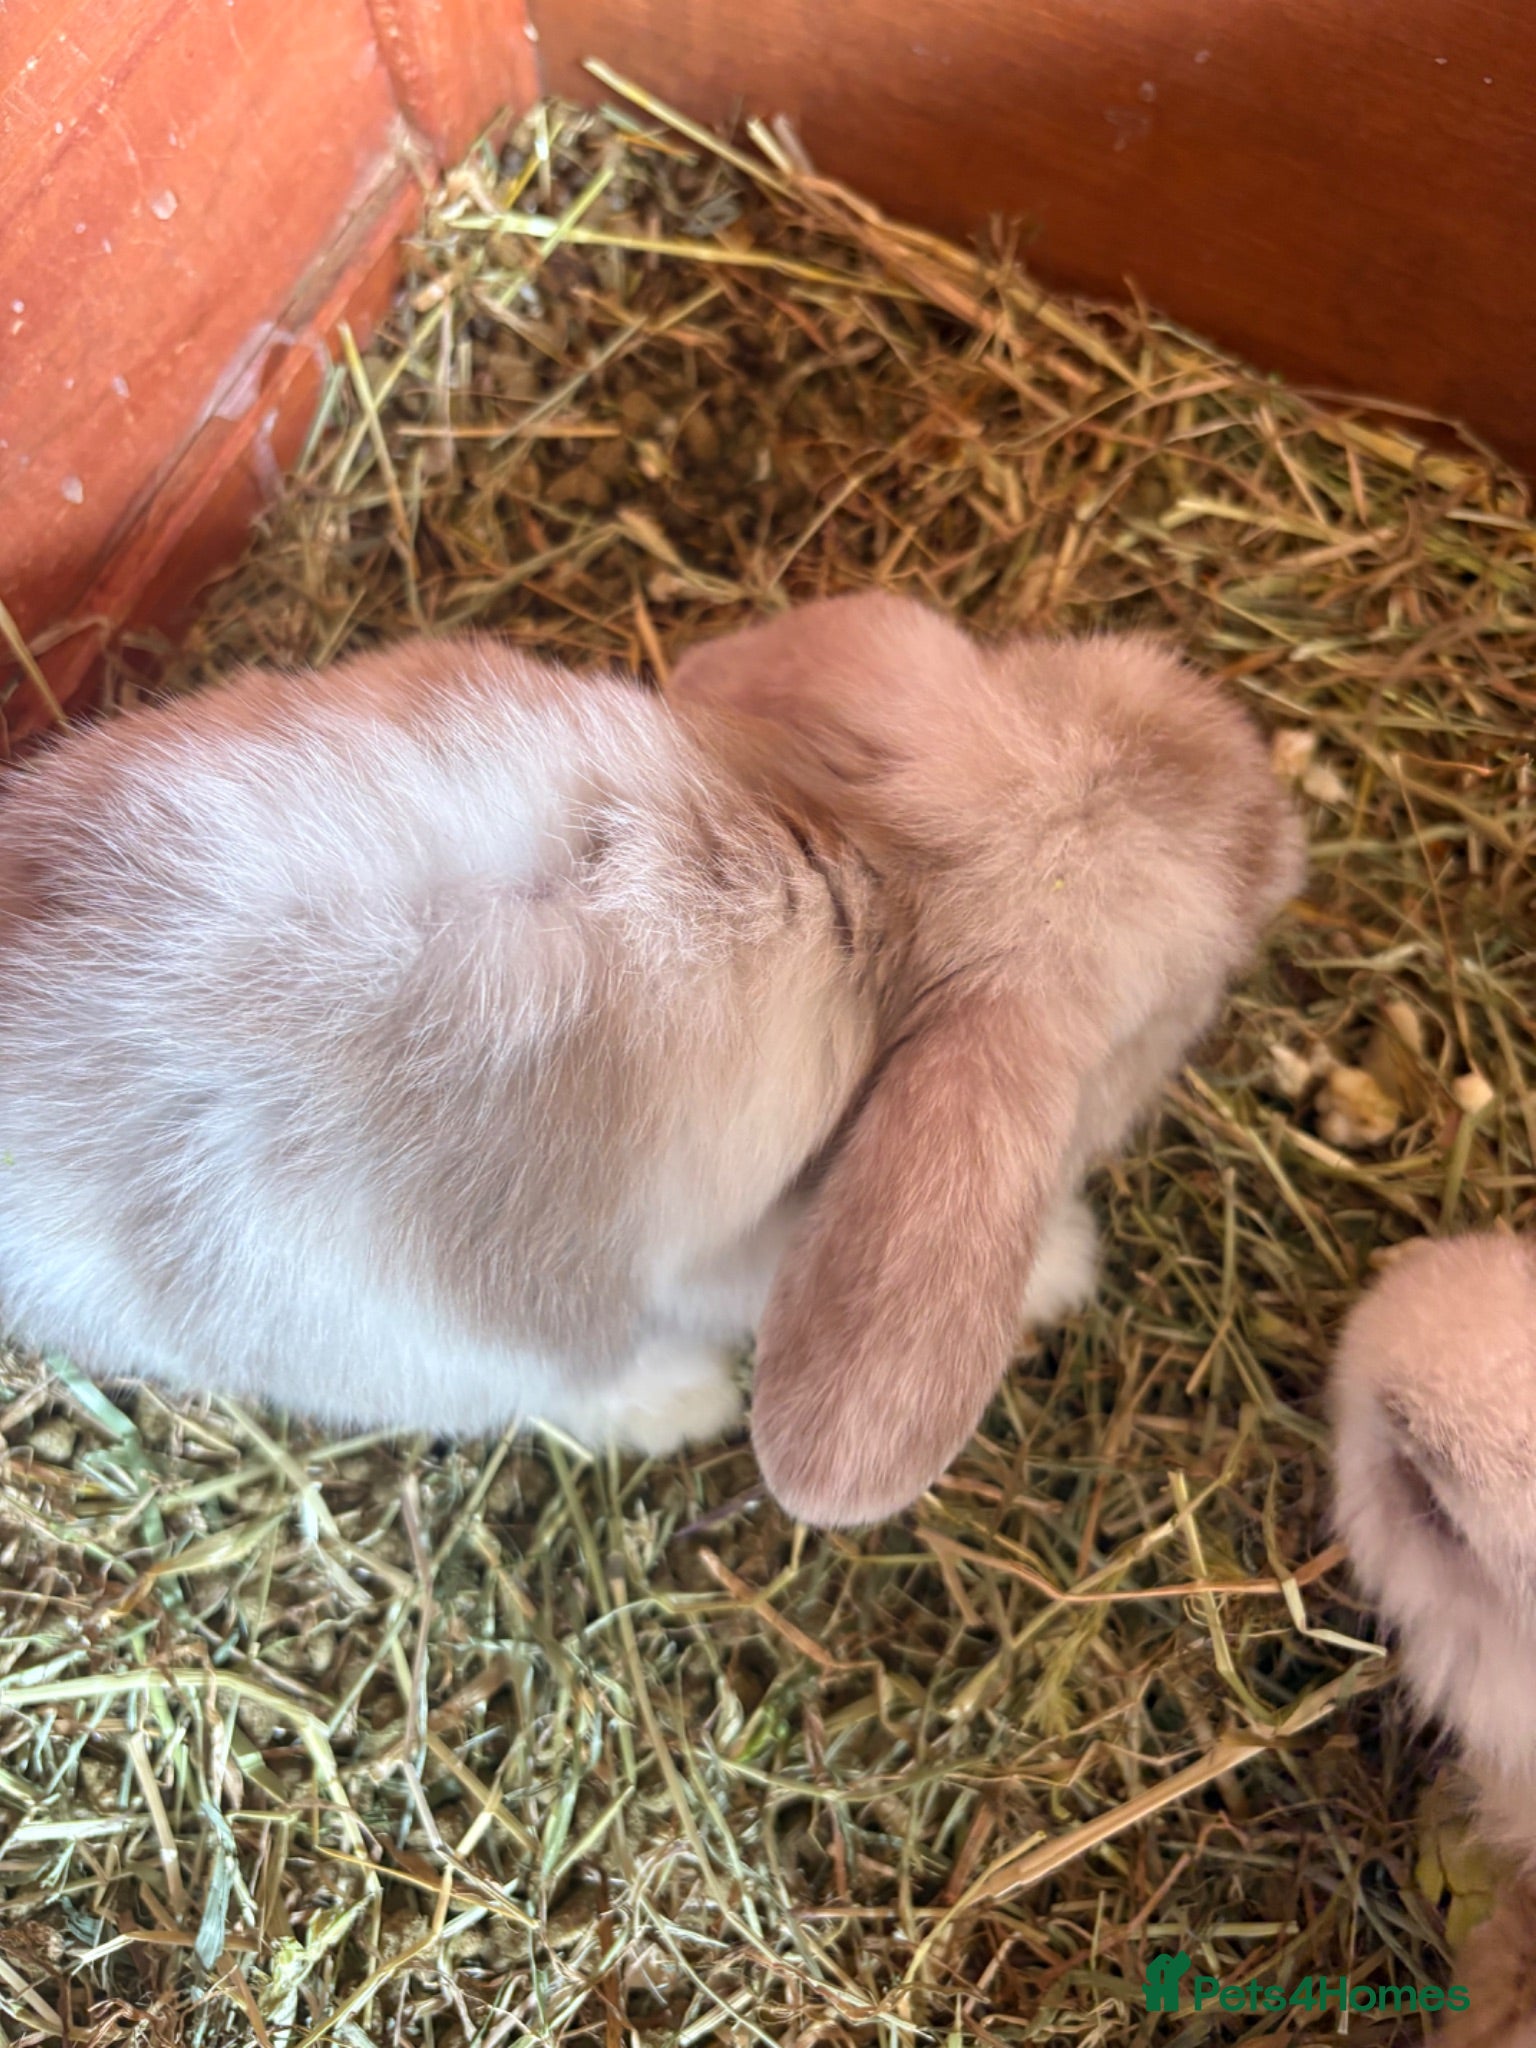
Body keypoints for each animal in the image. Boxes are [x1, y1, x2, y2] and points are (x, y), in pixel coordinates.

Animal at [0, 592, 1303, 1525]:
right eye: (1169, 1009)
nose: (1284, 826)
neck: (874, 877)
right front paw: (1066, 1259)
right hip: (426, 1334)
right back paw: (683, 1400)